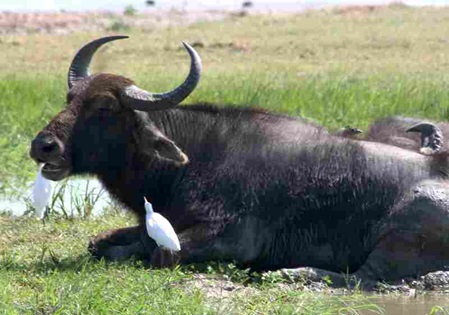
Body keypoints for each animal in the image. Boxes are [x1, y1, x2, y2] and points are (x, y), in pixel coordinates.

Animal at [29, 36, 448, 286]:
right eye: (70, 98)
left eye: (104, 107)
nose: (43, 146)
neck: (192, 161)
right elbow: (100, 242)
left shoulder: (232, 237)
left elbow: (160, 253)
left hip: (398, 238)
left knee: (364, 277)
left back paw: (295, 273)